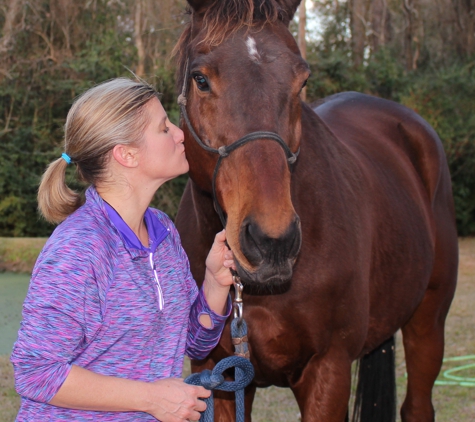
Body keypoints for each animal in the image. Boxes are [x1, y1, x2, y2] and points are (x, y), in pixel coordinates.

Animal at [174, 1, 458, 420]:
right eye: (200, 79)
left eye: (301, 80)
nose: (271, 242)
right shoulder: (218, 372)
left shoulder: (329, 368)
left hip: (428, 322)